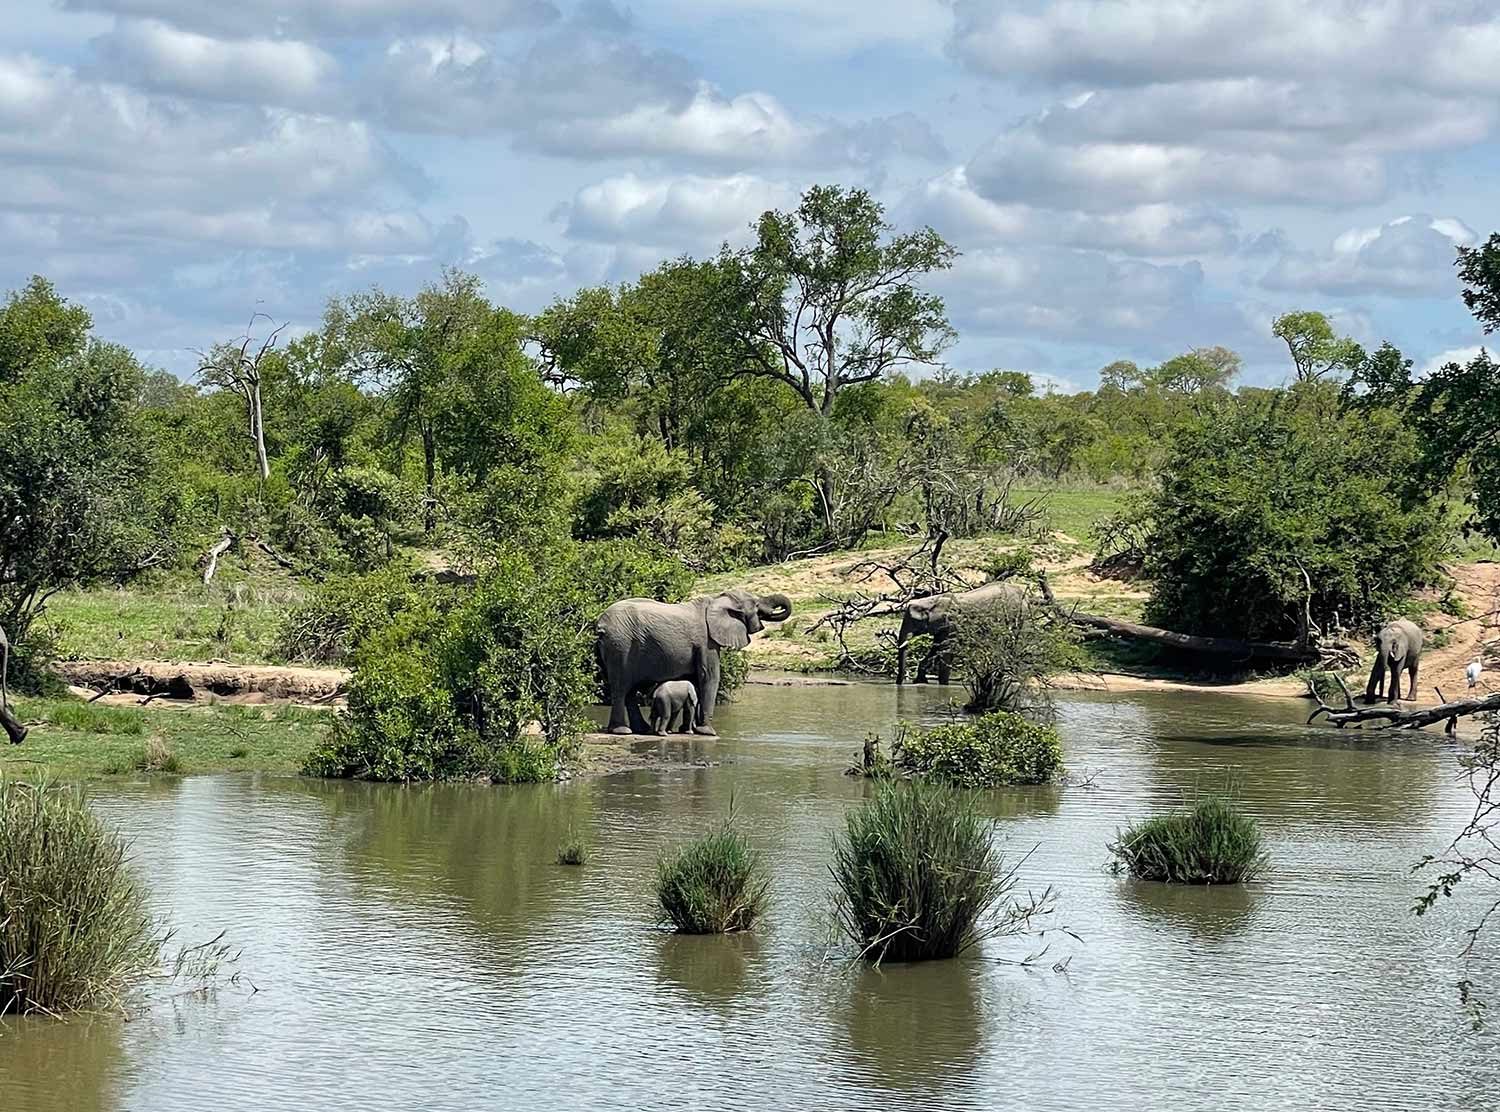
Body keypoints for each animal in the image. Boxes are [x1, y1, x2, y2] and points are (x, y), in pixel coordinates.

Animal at [591, 585, 792, 732]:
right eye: (756, 605)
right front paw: (707, 732)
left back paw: (641, 729)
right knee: (621, 686)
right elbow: (709, 676)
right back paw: (622, 731)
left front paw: (691, 729)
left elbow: (696, 679)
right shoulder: (706, 642)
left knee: (630, 690)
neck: (716, 599)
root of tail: (600, 624)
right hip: (620, 644)